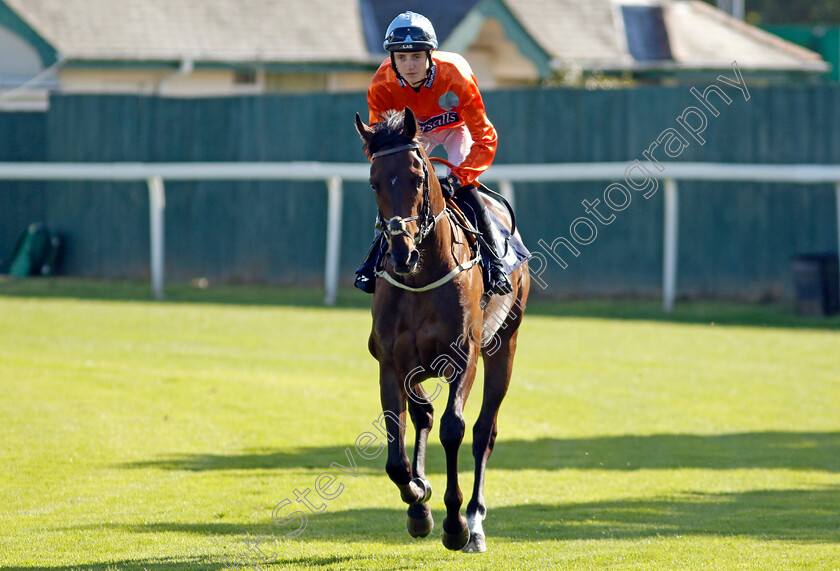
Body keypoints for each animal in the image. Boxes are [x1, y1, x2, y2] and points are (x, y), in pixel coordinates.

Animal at [356, 107, 532, 556]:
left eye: (418, 177)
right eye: (374, 181)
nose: (401, 253)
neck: (422, 276)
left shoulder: (462, 356)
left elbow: (455, 429)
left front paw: (456, 524)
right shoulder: (390, 361)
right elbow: (397, 448)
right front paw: (418, 501)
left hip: (505, 343)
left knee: (485, 431)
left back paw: (476, 521)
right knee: (423, 414)